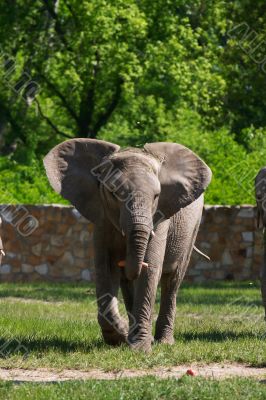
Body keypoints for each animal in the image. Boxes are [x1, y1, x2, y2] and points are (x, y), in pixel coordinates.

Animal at [44, 139, 213, 352]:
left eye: (157, 196)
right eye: (113, 194)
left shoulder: (160, 217)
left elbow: (151, 269)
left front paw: (140, 348)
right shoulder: (101, 217)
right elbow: (105, 268)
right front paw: (120, 337)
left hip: (193, 228)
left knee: (172, 280)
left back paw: (163, 341)